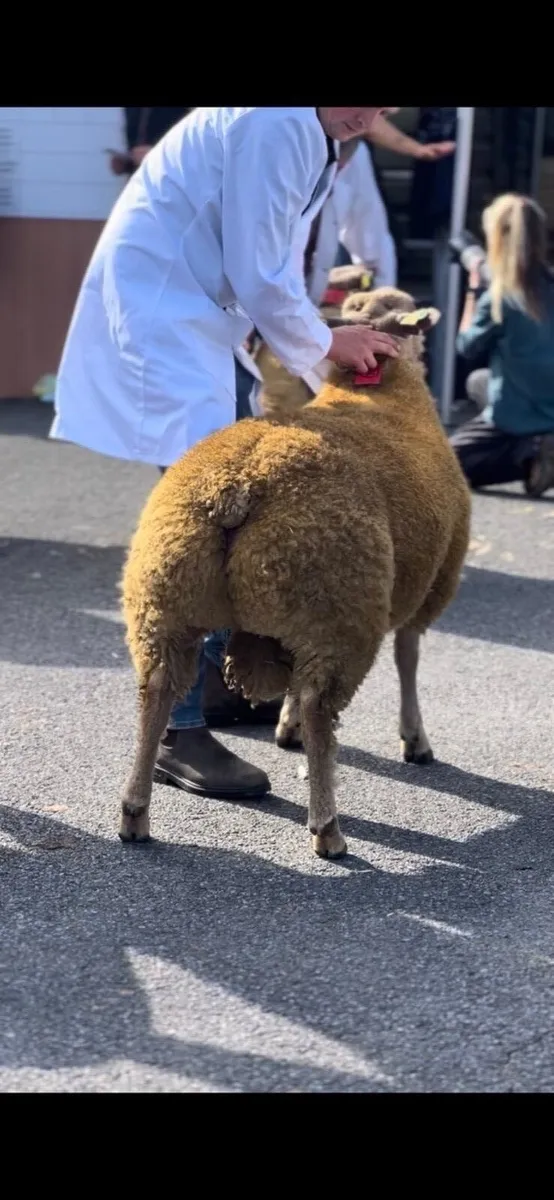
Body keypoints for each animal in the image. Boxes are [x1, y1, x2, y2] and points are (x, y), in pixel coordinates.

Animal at [120, 285, 471, 860]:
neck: (386, 391)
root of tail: (236, 485)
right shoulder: (431, 583)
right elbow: (409, 658)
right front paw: (415, 739)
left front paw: (284, 730)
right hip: (338, 606)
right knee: (319, 706)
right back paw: (327, 828)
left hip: (165, 599)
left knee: (157, 693)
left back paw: (134, 813)